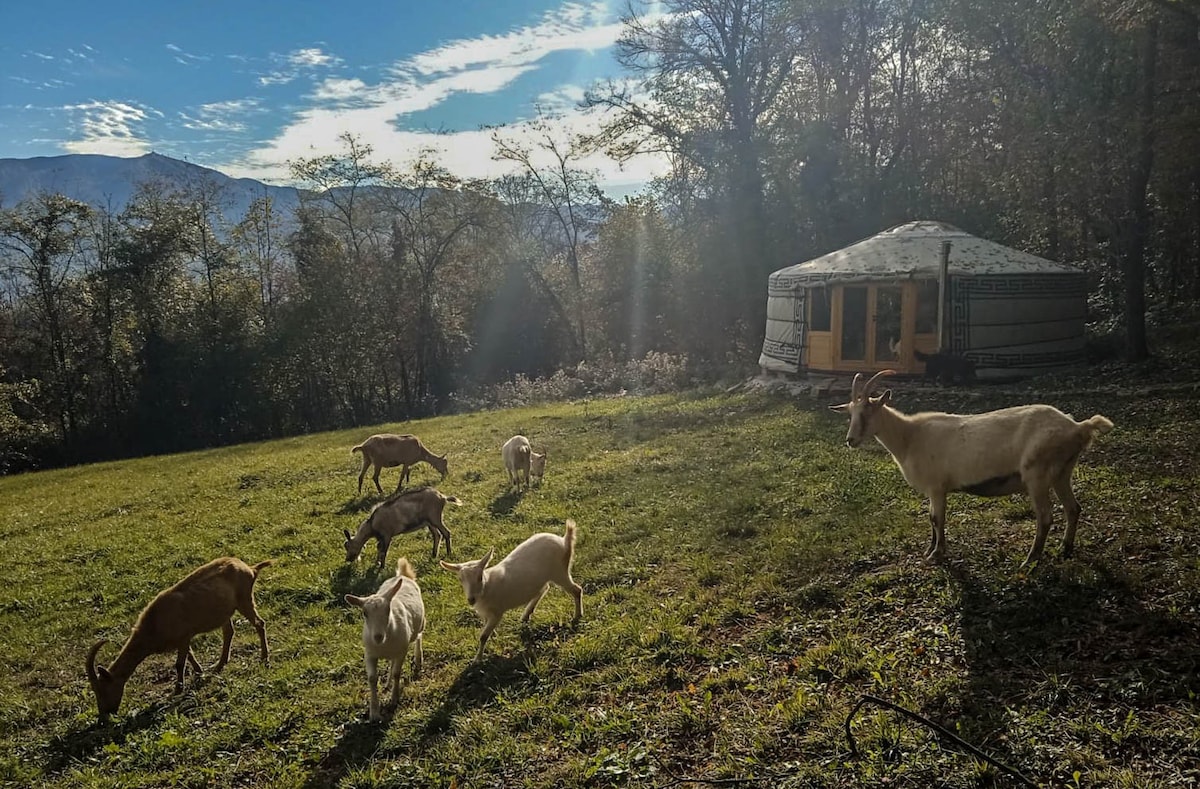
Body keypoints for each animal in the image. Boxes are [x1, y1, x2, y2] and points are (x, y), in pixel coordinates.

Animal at [87, 553, 272, 719]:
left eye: (102, 689)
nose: (104, 715)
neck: (154, 624)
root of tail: (250, 569)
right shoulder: (182, 639)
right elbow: (189, 655)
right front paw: (199, 672)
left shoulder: (183, 636)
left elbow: (179, 664)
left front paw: (177, 689)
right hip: (225, 611)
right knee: (229, 632)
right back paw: (219, 664)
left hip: (245, 600)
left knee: (259, 624)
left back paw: (264, 657)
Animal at [446, 515, 585, 657]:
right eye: (460, 579)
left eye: (479, 577)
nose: (471, 600)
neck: (487, 586)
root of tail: (564, 540)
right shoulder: (485, 614)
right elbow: (486, 631)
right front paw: (493, 638)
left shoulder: (497, 613)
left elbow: (483, 636)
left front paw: (477, 658)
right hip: (544, 577)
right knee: (544, 589)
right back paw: (525, 616)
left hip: (560, 572)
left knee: (576, 590)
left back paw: (577, 616)